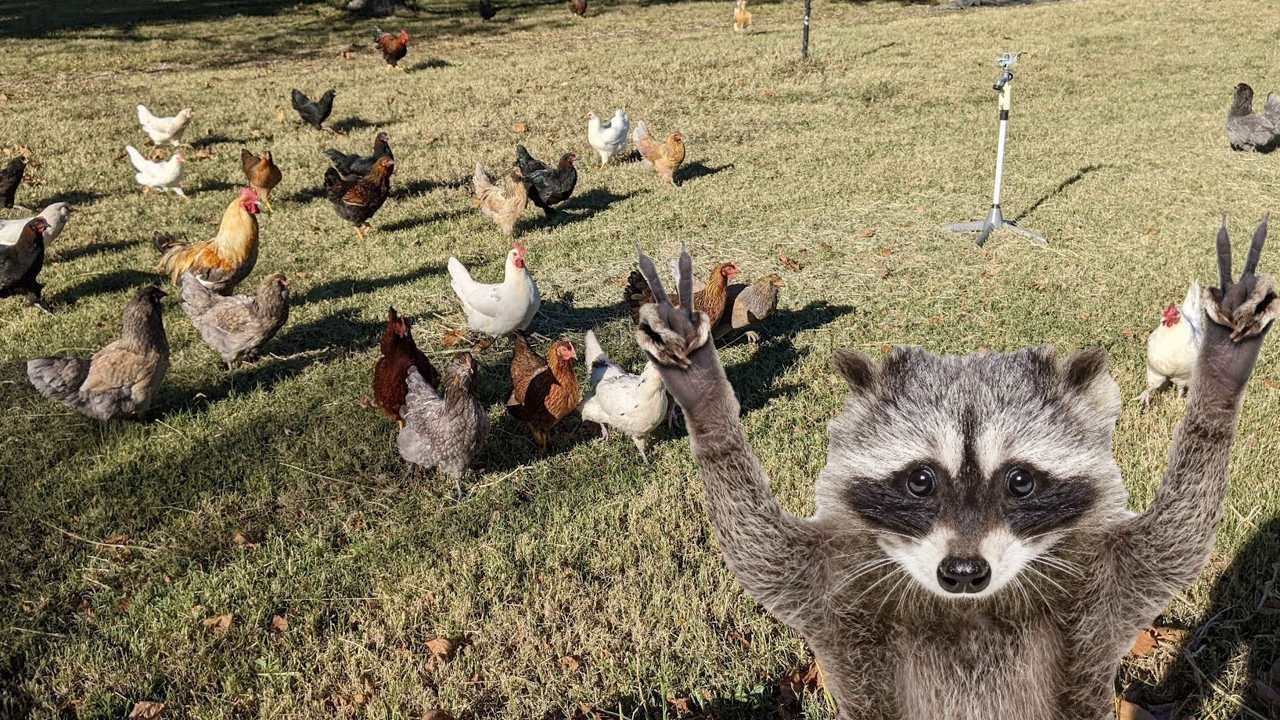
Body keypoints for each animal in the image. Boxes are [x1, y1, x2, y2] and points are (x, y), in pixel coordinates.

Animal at [630, 219, 1277, 719]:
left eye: (1020, 481)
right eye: (921, 480)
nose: (964, 573)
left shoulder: (1107, 585)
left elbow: (1178, 535)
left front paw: (1221, 373)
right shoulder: (830, 586)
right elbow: (755, 543)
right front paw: (702, 393)